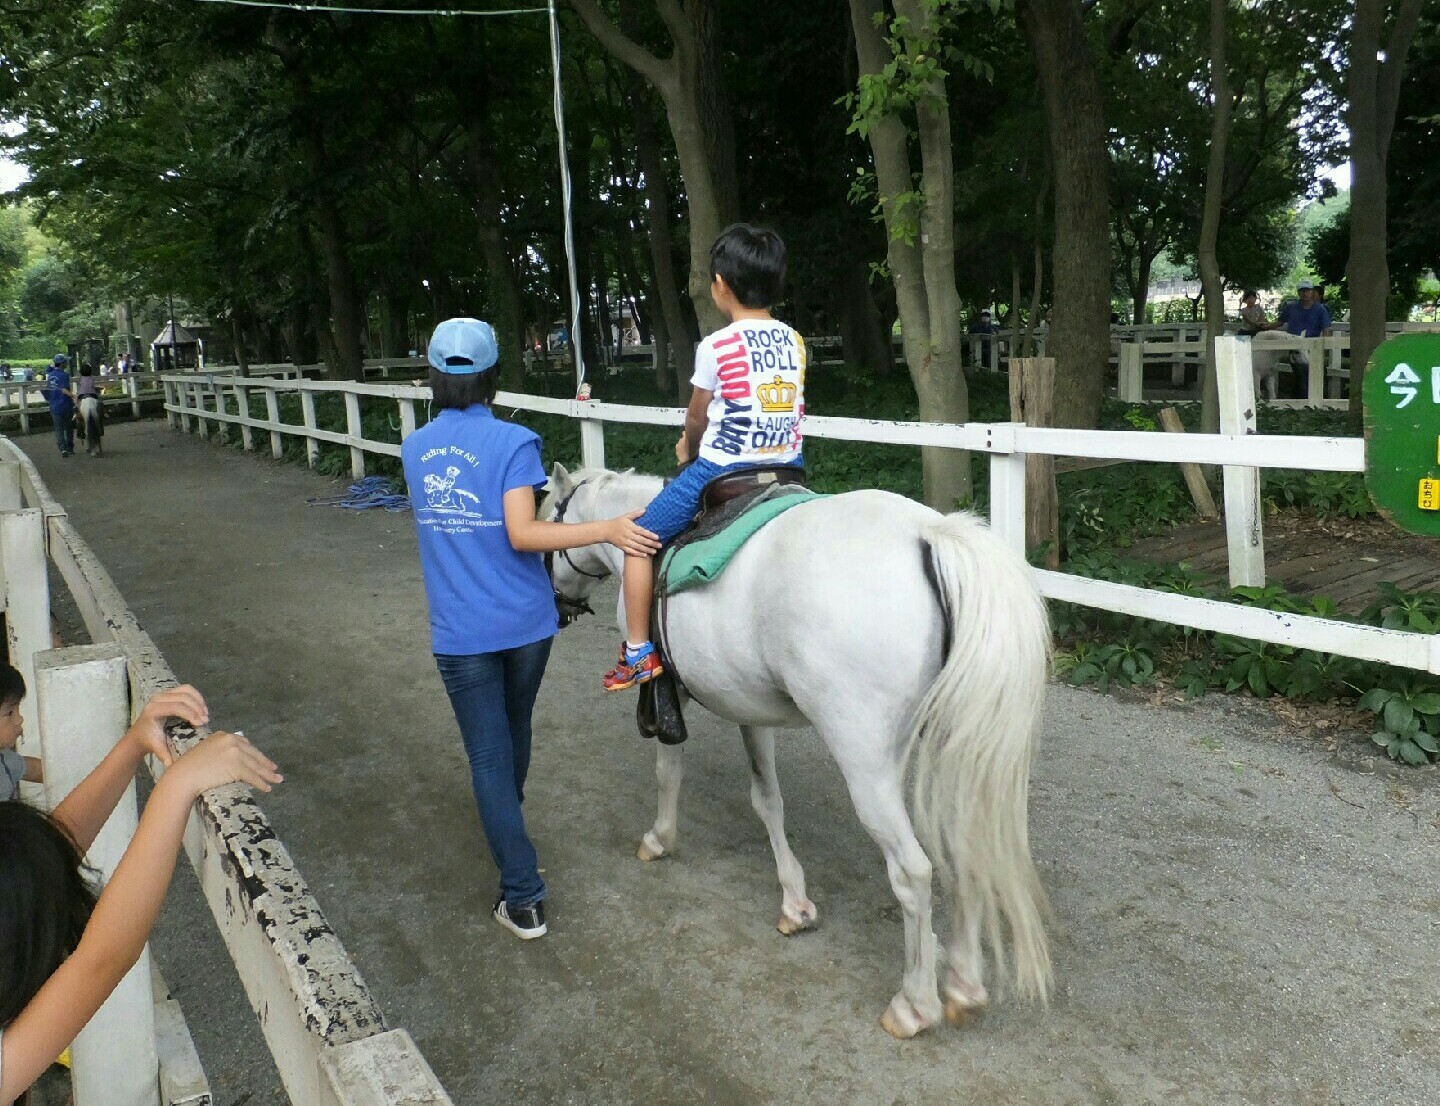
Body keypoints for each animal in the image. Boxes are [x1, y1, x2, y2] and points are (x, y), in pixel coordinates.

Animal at [544, 466, 1054, 1036]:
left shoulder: (671, 693)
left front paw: (660, 838)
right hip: (952, 747)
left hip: (865, 762)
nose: (557, 606)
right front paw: (795, 903)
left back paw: (914, 1004)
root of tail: (929, 533)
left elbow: (668, 771)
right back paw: (964, 985)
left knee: (913, 872)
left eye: (546, 515)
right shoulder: (747, 706)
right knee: (965, 850)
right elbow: (767, 800)